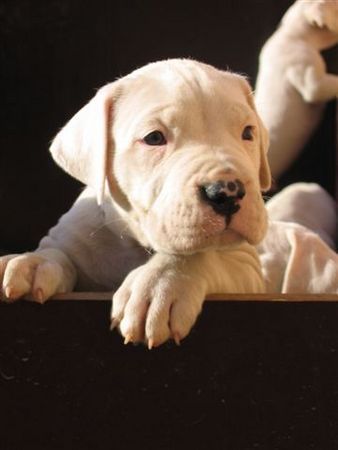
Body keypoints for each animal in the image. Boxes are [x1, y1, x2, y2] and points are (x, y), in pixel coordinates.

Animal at [0, 59, 270, 348]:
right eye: (154, 138)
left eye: (247, 132)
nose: (228, 192)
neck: (135, 243)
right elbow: (57, 252)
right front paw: (29, 263)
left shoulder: (248, 269)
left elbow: (199, 256)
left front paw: (159, 285)